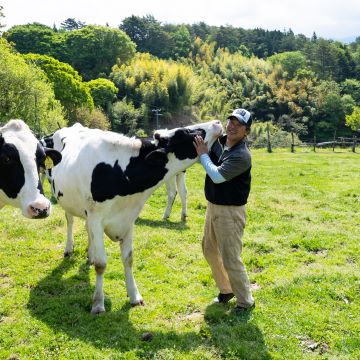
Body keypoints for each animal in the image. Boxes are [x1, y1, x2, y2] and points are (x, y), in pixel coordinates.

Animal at [50, 120, 222, 312]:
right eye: (183, 133)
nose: (217, 122)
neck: (120, 172)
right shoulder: (96, 218)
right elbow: (102, 264)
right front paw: (98, 304)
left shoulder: (128, 219)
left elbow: (128, 259)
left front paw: (134, 296)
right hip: (66, 200)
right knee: (70, 221)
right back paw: (69, 248)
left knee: (87, 230)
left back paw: (90, 254)